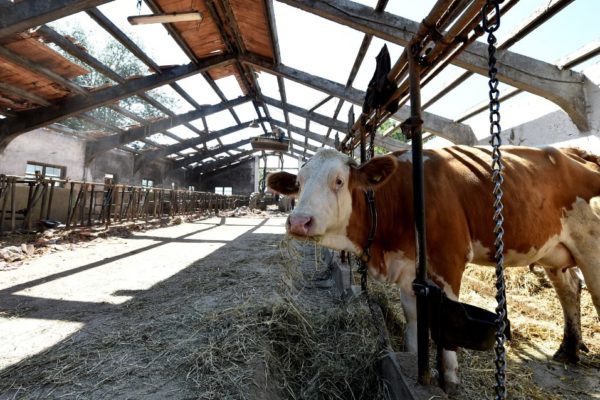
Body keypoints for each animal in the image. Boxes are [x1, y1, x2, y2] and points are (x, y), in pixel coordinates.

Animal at [268, 145, 600, 386]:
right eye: (297, 184)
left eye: (338, 181)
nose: (298, 222)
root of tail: (573, 151)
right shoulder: (407, 269)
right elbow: (414, 318)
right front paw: (418, 361)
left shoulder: (449, 261)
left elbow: (449, 320)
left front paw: (450, 379)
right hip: (555, 250)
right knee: (570, 289)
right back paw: (568, 350)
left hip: (590, 244)